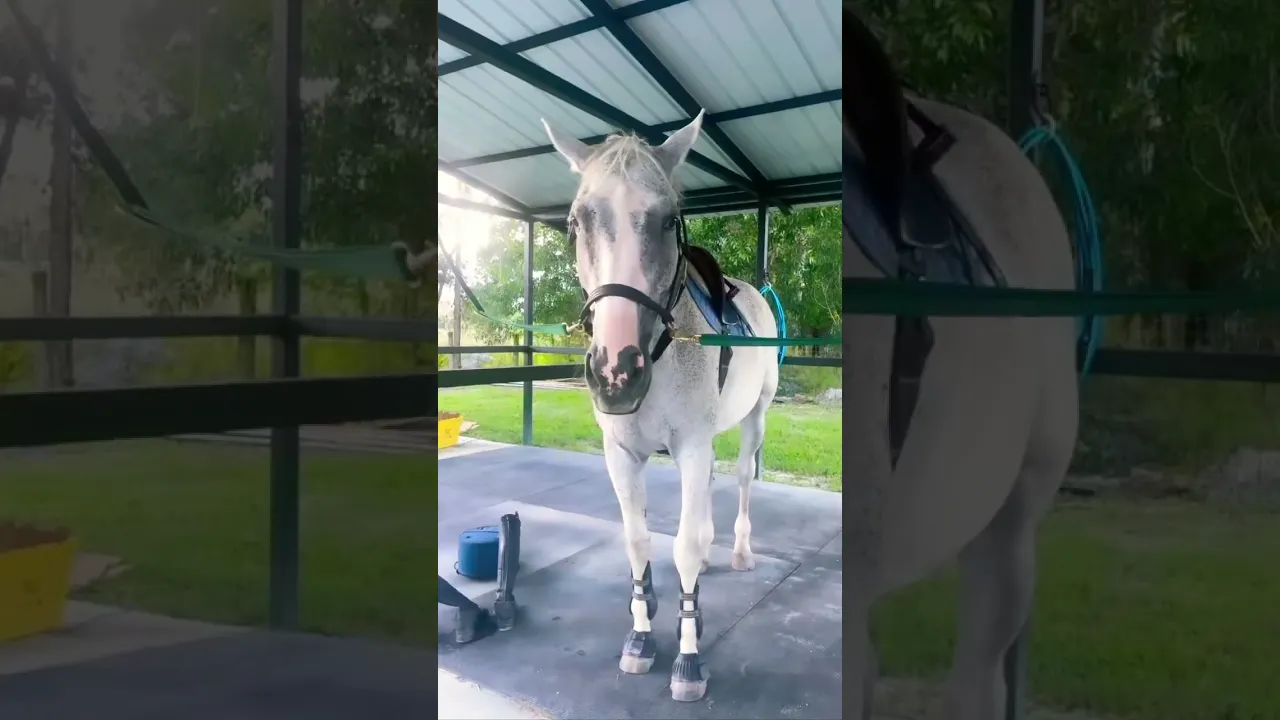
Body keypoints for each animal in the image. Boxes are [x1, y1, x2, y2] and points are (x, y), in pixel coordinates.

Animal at [541, 110, 781, 703]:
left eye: (670, 220)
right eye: (577, 221)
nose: (615, 371)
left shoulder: (692, 446)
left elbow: (685, 547)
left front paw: (689, 657)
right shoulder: (621, 453)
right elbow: (638, 540)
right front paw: (640, 634)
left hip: (755, 416)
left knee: (743, 477)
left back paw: (739, 551)